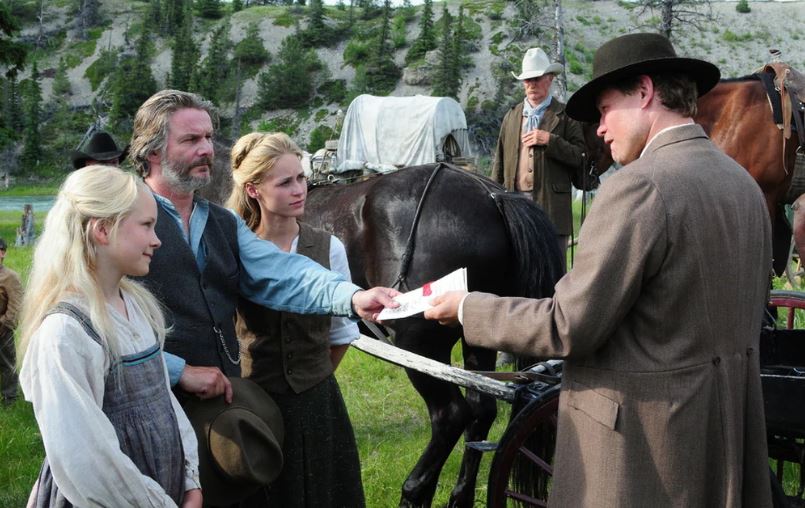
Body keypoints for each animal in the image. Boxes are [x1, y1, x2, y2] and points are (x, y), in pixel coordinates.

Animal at [304, 165, 564, 506]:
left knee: (451, 416)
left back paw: (414, 490)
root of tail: (493, 196)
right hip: (479, 331)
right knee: (481, 410)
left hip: (420, 345)